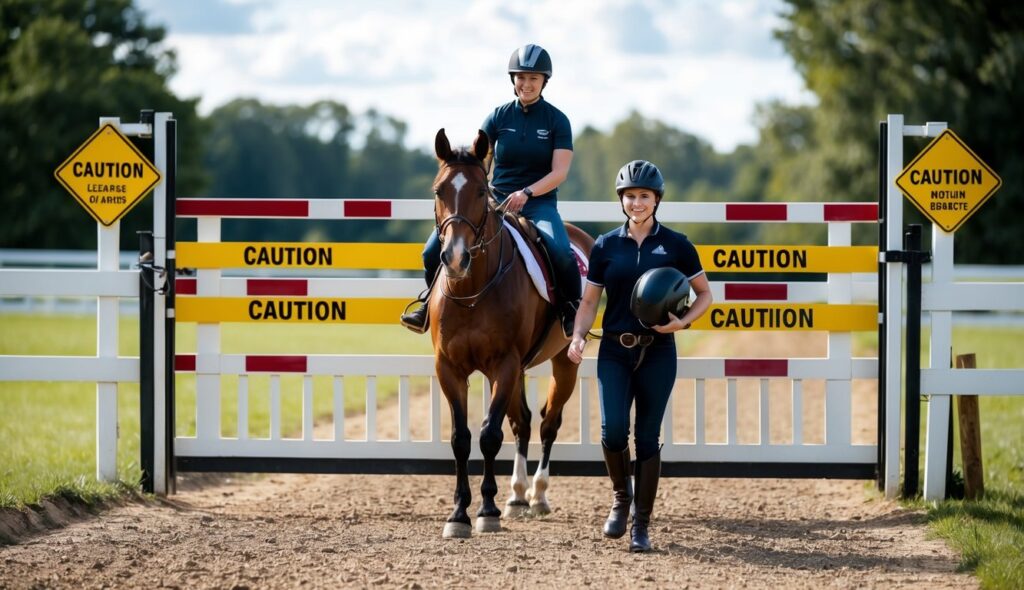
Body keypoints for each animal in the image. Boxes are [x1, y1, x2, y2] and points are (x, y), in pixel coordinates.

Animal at [428, 129, 598, 540]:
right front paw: (458, 514)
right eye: (439, 190)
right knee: (522, 421)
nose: (454, 258)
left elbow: (489, 435)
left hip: (563, 362)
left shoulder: (503, 365)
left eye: (479, 191)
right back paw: (518, 496)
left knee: (549, 422)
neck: (472, 289)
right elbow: (461, 439)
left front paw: (486, 511)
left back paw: (537, 495)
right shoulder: (449, 369)